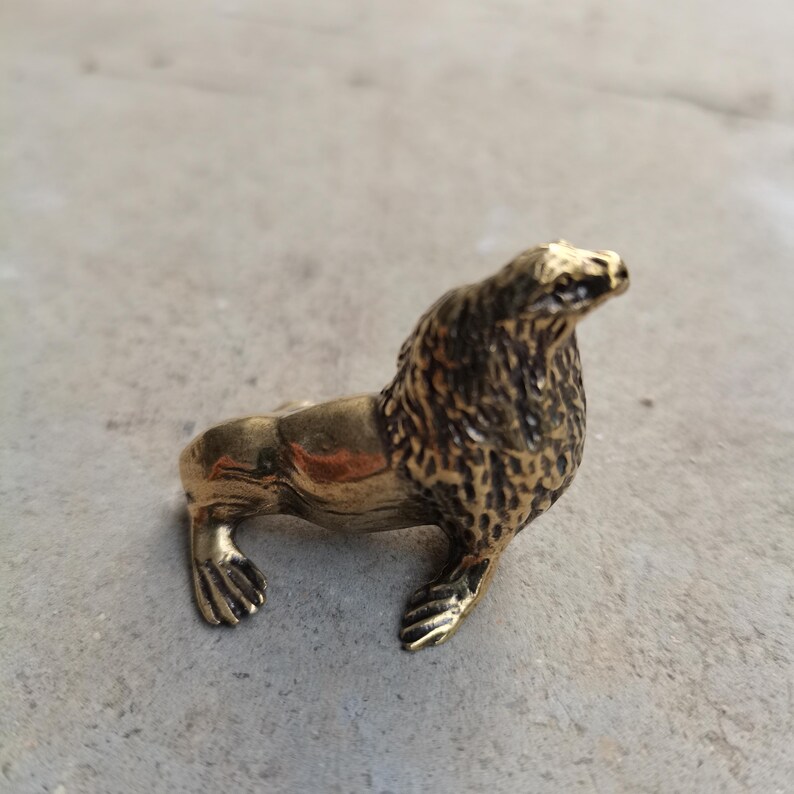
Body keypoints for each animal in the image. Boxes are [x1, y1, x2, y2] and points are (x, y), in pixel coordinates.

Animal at [179, 241, 629, 650]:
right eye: (561, 284)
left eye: (571, 245)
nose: (615, 264)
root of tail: (186, 458)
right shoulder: (489, 525)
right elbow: (473, 573)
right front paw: (435, 614)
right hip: (231, 476)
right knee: (204, 515)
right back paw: (228, 581)